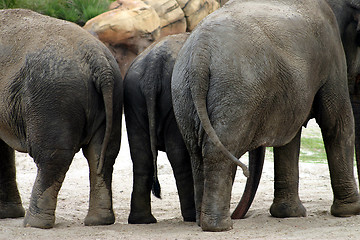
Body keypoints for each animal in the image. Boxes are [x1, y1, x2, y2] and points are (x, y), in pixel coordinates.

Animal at [0, 9, 122, 229]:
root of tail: (98, 60)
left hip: (54, 98)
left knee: (52, 157)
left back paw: (34, 224)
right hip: (112, 94)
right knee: (102, 153)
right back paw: (99, 221)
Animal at [124, 32, 197, 224]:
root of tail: (153, 67)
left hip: (133, 97)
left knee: (141, 156)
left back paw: (142, 220)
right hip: (173, 99)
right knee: (178, 154)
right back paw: (193, 216)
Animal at [171, 0, 360, 232]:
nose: (239, 216)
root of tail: (200, 52)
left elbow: (290, 135)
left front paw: (289, 214)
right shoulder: (331, 52)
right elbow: (336, 123)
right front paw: (351, 211)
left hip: (184, 90)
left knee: (196, 151)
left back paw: (203, 221)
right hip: (236, 91)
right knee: (217, 150)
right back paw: (220, 226)